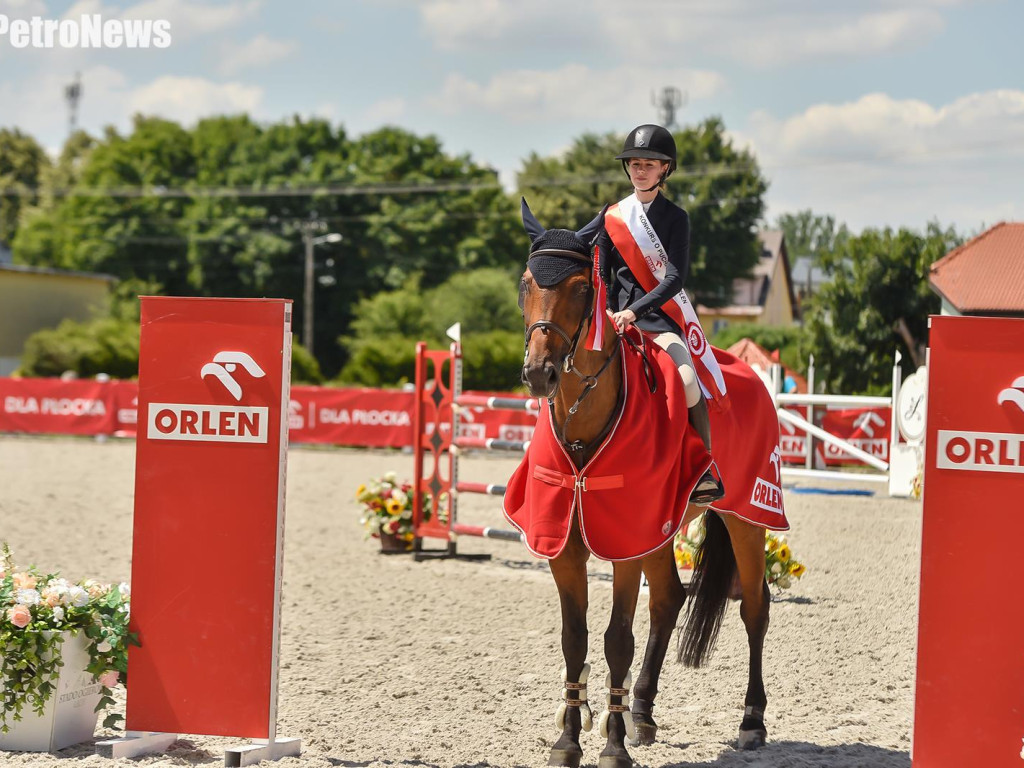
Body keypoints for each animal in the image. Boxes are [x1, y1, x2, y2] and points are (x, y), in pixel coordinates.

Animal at [512, 204, 774, 768]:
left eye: (581, 288)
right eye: (526, 284)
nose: (540, 374)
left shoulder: (623, 544)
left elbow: (616, 640)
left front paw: (610, 746)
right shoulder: (568, 545)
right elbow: (574, 639)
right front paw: (569, 741)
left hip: (747, 517)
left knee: (754, 608)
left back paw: (751, 721)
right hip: (658, 528)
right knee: (669, 599)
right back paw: (643, 713)